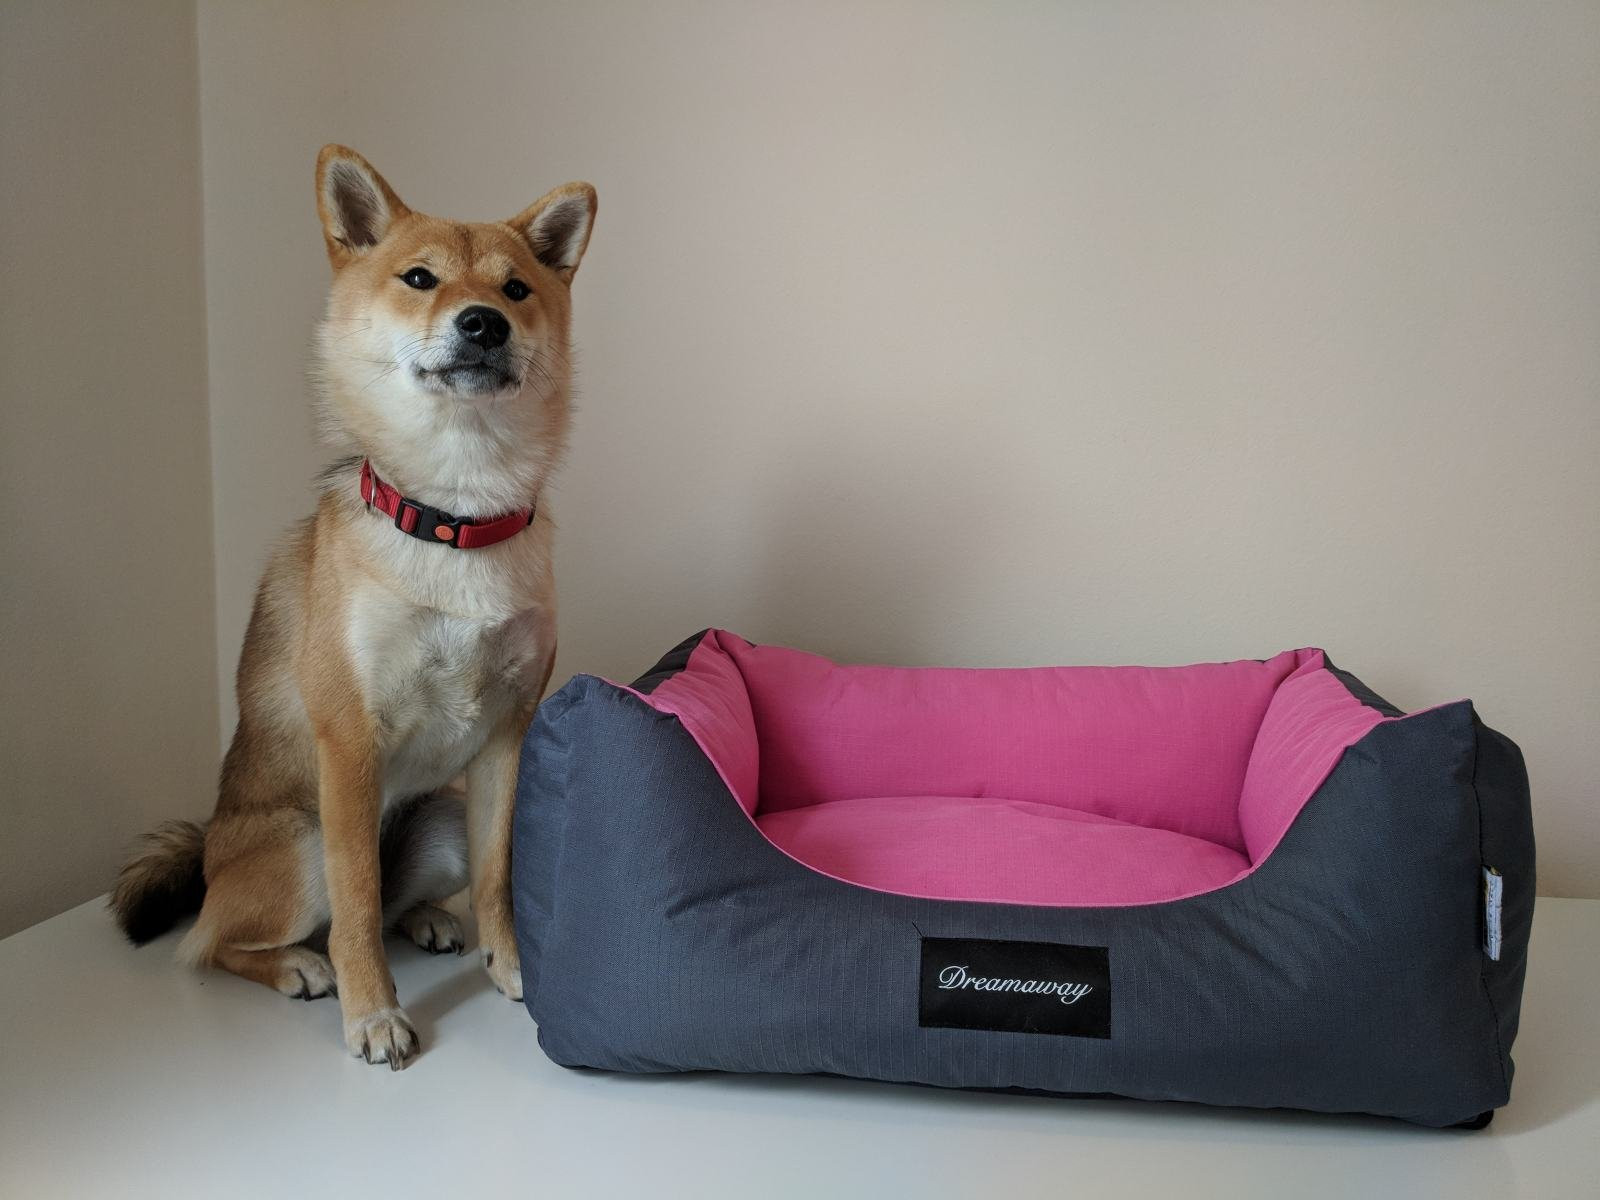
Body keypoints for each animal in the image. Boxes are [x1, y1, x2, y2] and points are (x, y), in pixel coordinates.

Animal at [111, 145, 596, 1069]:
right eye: (419, 278)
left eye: (517, 288)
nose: (484, 323)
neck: (455, 518)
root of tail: (211, 847)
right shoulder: (348, 741)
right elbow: (358, 905)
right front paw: (374, 1013)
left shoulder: (508, 734)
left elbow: (498, 877)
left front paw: (511, 964)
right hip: (298, 843)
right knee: (220, 943)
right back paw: (301, 967)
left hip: (442, 818)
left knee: (398, 894)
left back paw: (430, 919)